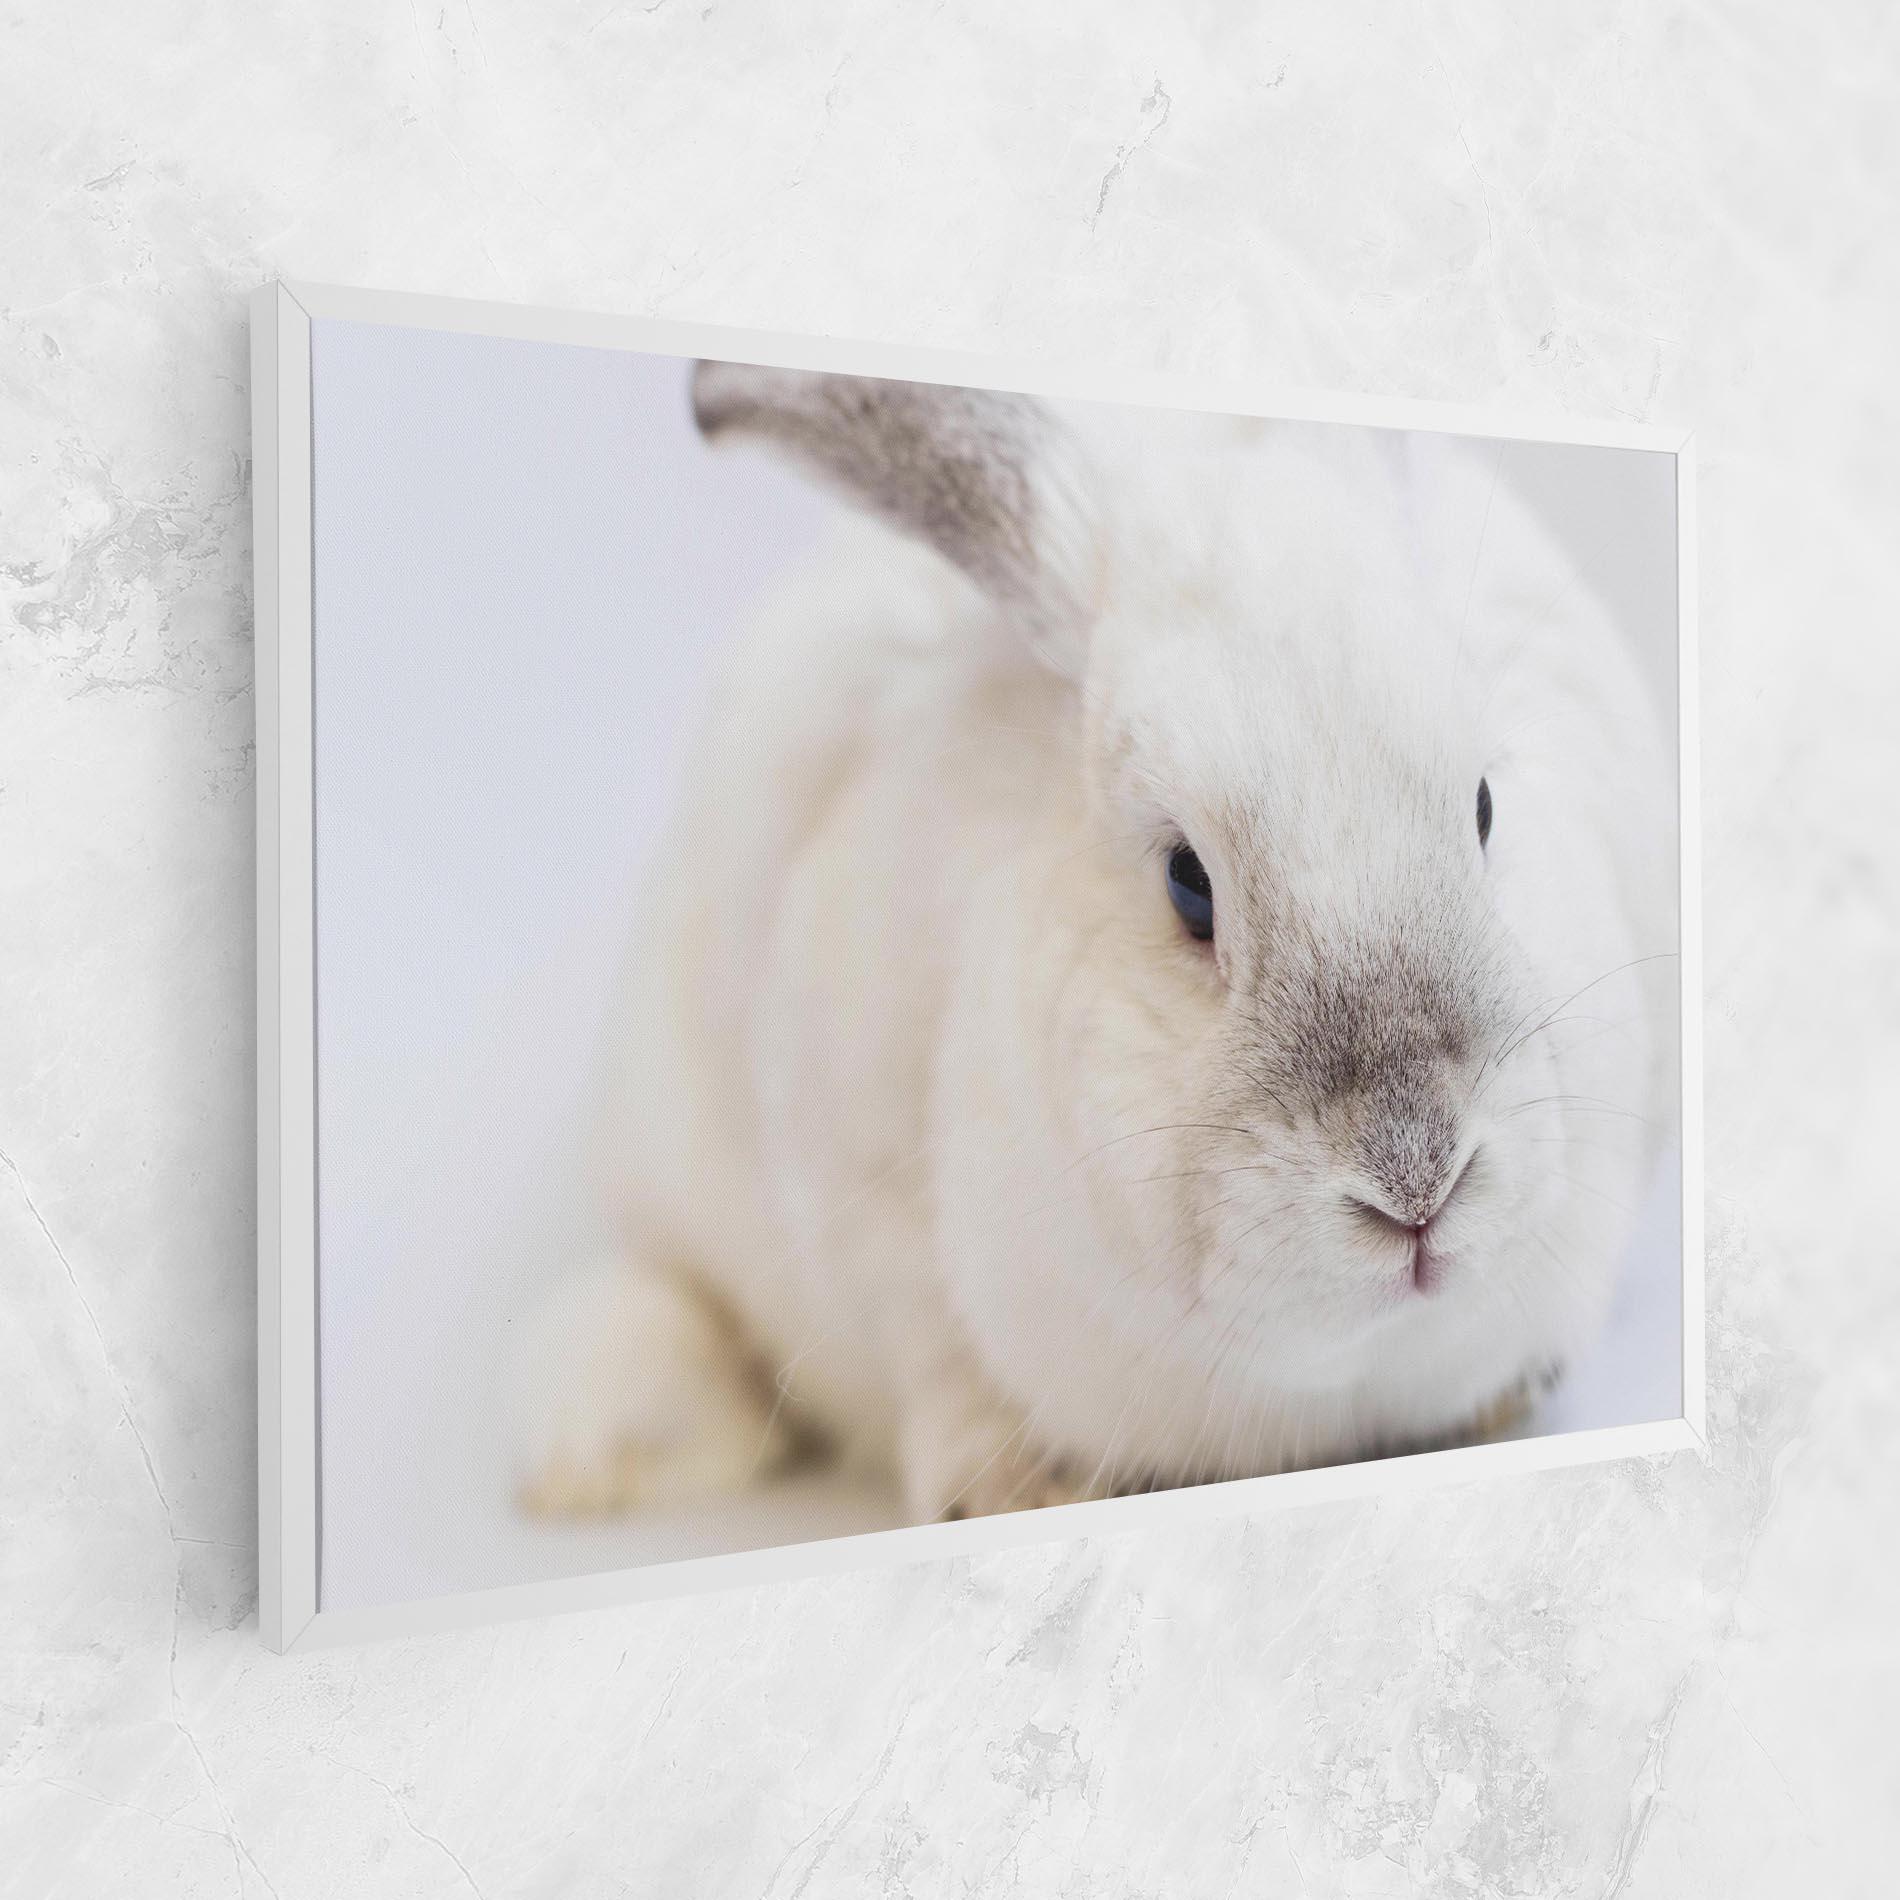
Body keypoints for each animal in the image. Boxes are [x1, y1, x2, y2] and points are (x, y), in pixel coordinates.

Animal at [514, 361, 1677, 1526]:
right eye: (1187, 883)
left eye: (1483, 807)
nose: (1417, 1180)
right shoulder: (860, 1184)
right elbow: (935, 1361)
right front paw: (1014, 1490)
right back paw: (602, 1448)